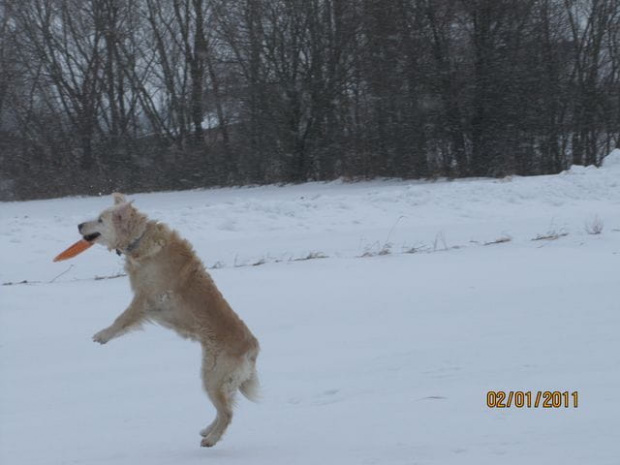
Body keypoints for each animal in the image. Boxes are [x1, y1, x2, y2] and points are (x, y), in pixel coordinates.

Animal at [77, 192, 260, 446]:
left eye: (100, 219)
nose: (78, 225)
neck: (139, 239)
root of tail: (253, 348)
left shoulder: (145, 298)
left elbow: (121, 319)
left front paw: (103, 335)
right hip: (217, 380)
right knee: (224, 409)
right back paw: (207, 430)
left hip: (212, 376)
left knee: (227, 413)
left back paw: (211, 439)